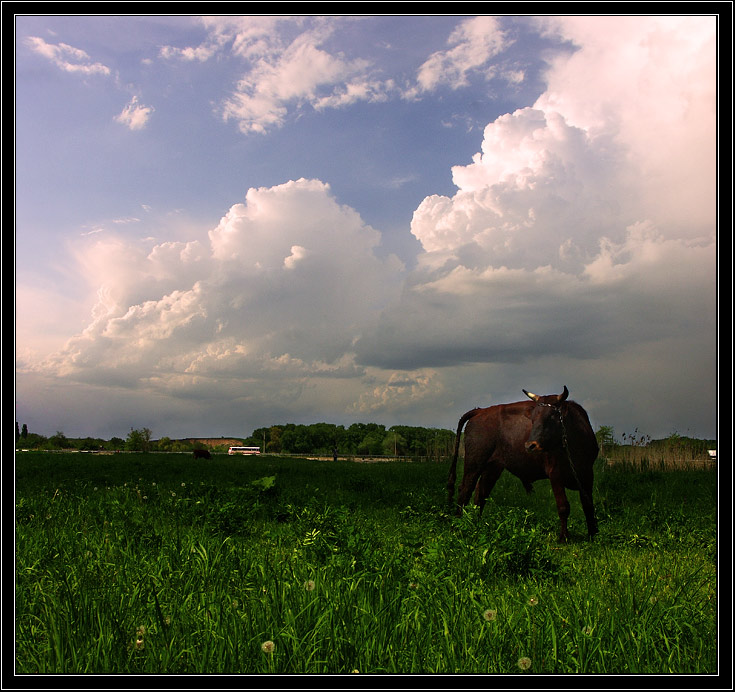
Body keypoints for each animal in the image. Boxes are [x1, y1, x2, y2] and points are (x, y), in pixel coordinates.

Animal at [448, 384, 600, 540]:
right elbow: (563, 506)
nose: (529, 445)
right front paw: (563, 537)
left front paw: (593, 533)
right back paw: (458, 526)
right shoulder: (555, 473)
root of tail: (481, 411)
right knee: (465, 490)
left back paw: (476, 525)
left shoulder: (587, 474)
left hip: (492, 467)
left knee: (481, 493)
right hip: (474, 463)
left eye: (552, 416)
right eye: (533, 419)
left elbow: (588, 504)